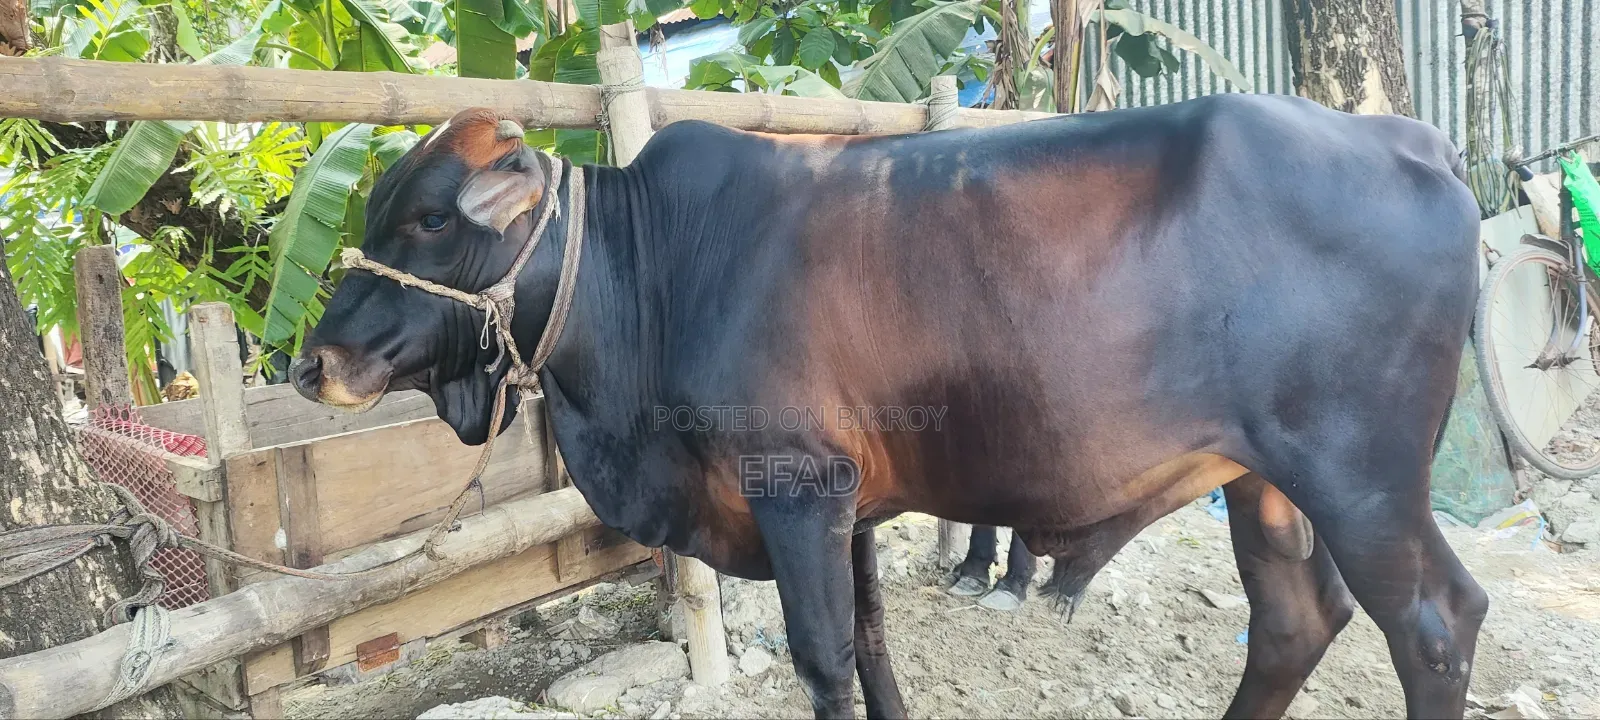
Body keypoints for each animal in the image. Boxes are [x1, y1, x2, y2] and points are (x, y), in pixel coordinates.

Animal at [290, 94, 1487, 719]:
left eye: (433, 219)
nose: (316, 361)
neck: (653, 269)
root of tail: (1410, 139)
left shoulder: (796, 487)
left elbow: (826, 656)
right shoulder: (851, 502)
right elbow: (870, 642)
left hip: (1360, 476)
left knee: (1433, 623)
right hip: (1263, 481)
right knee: (1293, 619)